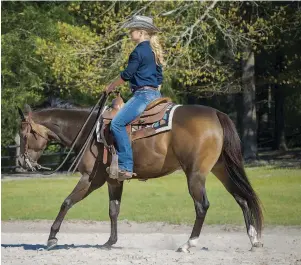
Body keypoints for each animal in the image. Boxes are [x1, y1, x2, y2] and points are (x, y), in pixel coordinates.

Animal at [17, 96, 262, 252]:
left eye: (22, 133)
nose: (21, 162)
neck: (89, 131)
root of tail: (215, 113)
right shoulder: (113, 180)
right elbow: (113, 210)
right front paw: (110, 242)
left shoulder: (91, 179)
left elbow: (66, 202)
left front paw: (51, 237)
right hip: (221, 169)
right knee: (241, 198)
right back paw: (253, 239)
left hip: (195, 174)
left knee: (202, 206)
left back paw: (188, 244)